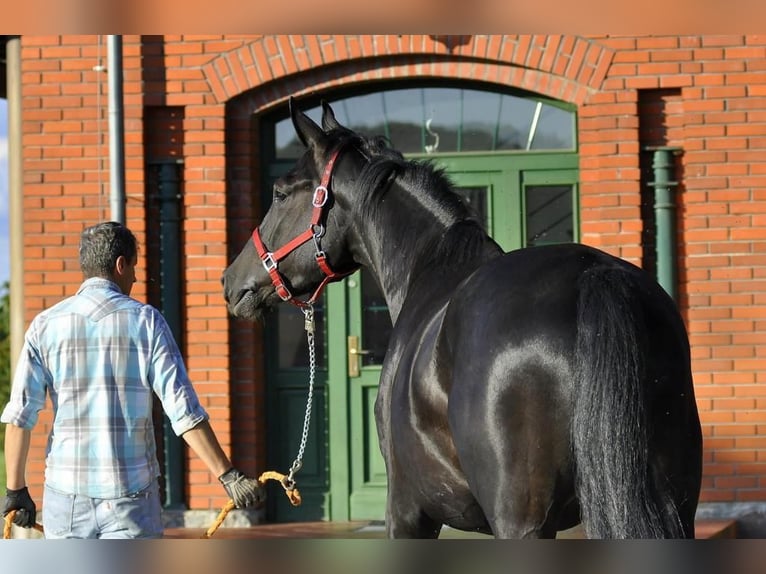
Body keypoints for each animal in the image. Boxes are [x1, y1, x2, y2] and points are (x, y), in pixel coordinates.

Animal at [222, 100, 704, 540]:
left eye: (281, 192)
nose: (231, 280)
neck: (428, 270)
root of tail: (592, 276)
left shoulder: (407, 512)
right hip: (673, 507)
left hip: (522, 523)